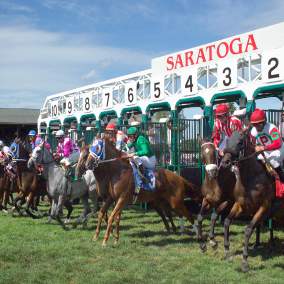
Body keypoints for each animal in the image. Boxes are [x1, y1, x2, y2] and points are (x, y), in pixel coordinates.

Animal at [221, 132, 276, 272]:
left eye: (240, 142)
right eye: (228, 140)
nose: (224, 162)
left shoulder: (264, 206)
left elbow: (248, 229)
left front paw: (245, 261)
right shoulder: (241, 205)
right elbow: (227, 222)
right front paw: (227, 251)